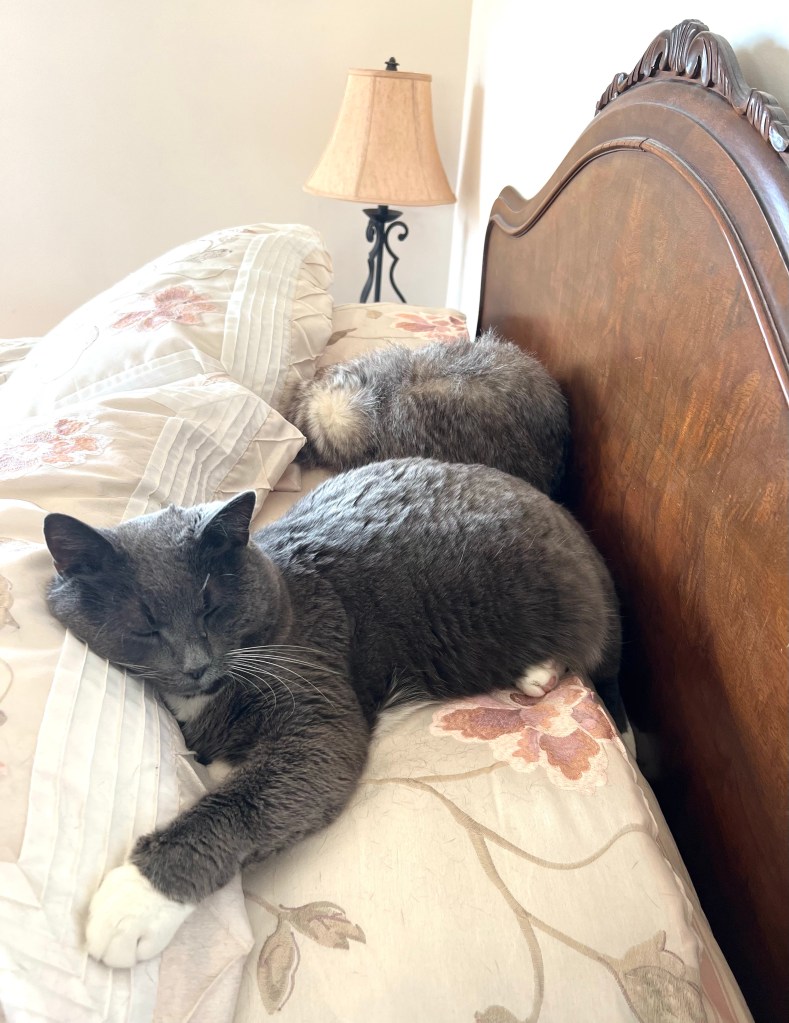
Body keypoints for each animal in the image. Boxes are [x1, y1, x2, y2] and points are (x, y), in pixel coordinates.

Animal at [43, 457, 623, 968]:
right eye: (145, 626)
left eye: (211, 607)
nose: (196, 665)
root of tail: (566, 520)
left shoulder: (317, 704)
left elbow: (250, 797)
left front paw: (136, 900)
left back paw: (538, 671)